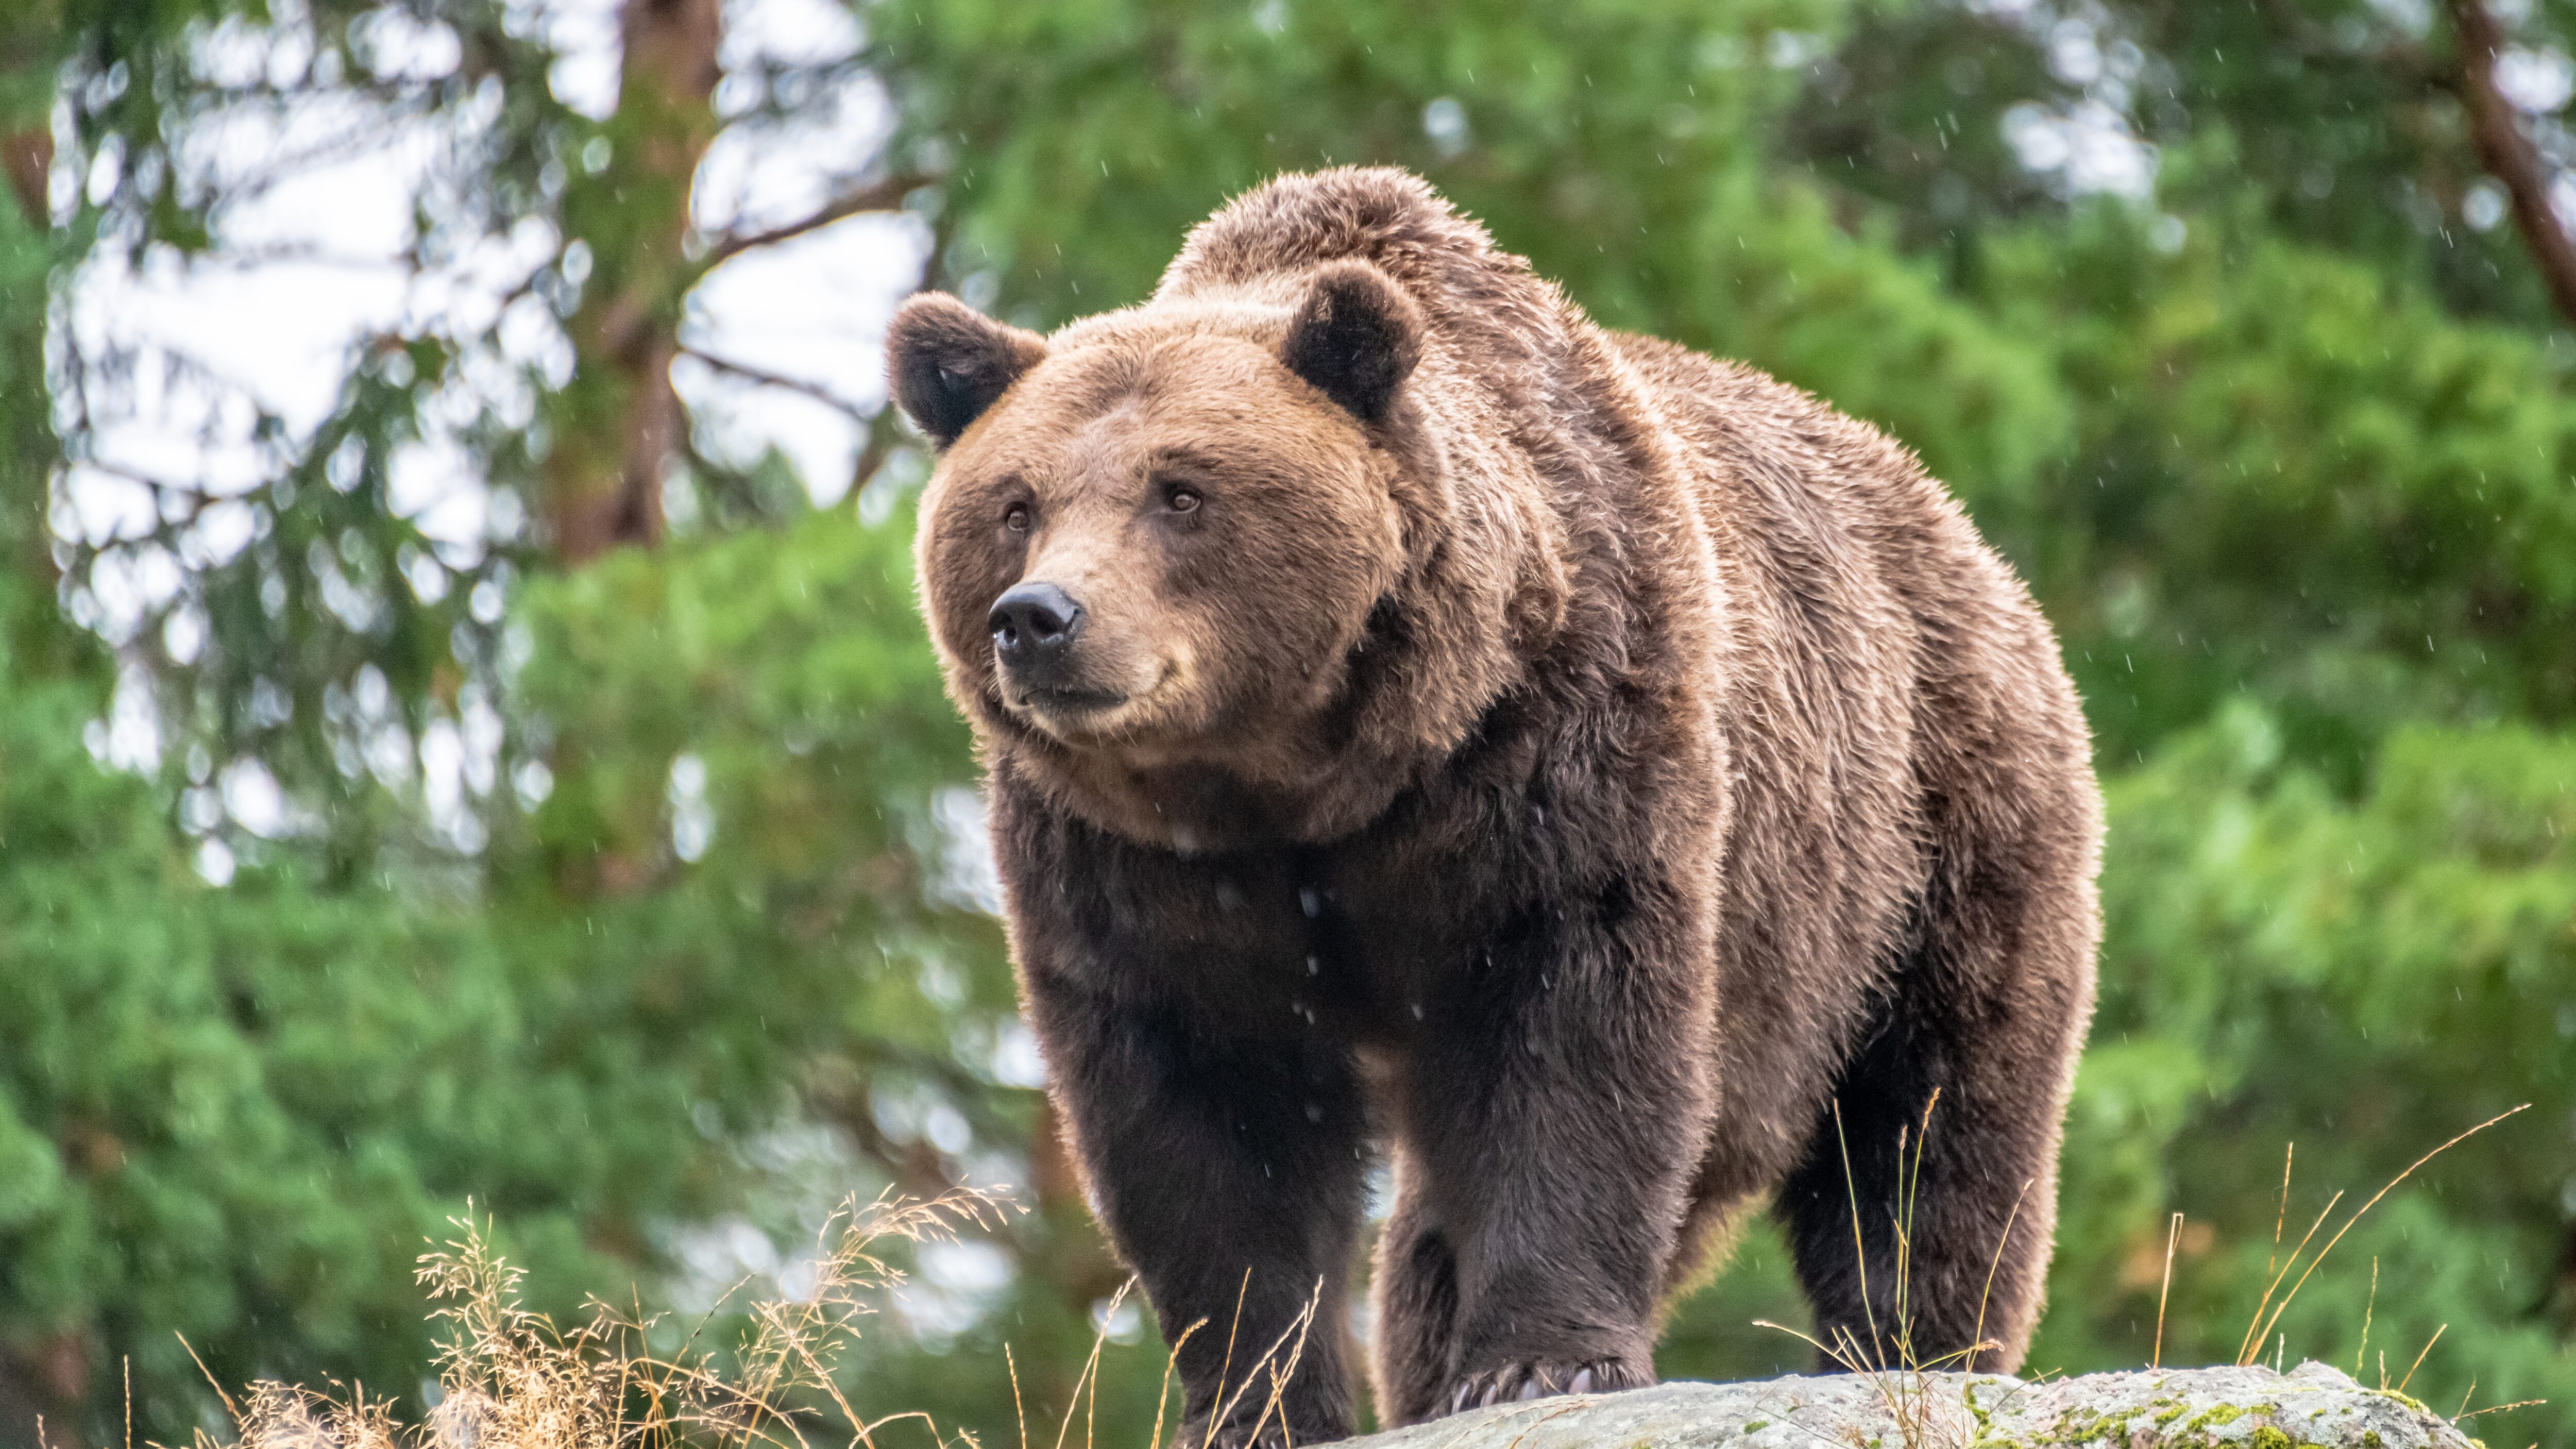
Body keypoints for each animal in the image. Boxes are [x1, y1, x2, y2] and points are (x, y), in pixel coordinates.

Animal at [888, 167, 2101, 1447]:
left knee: (1930, 1118)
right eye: (1015, 503)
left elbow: (1573, 1038)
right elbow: (1205, 1112)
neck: (1304, 781)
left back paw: (1912, 1348)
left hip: (1926, 838)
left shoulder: (1560, 759)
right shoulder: (1132, 866)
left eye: (1180, 490)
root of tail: (1952, 522)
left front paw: (1539, 1361)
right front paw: (1260, 1399)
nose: (1039, 617)